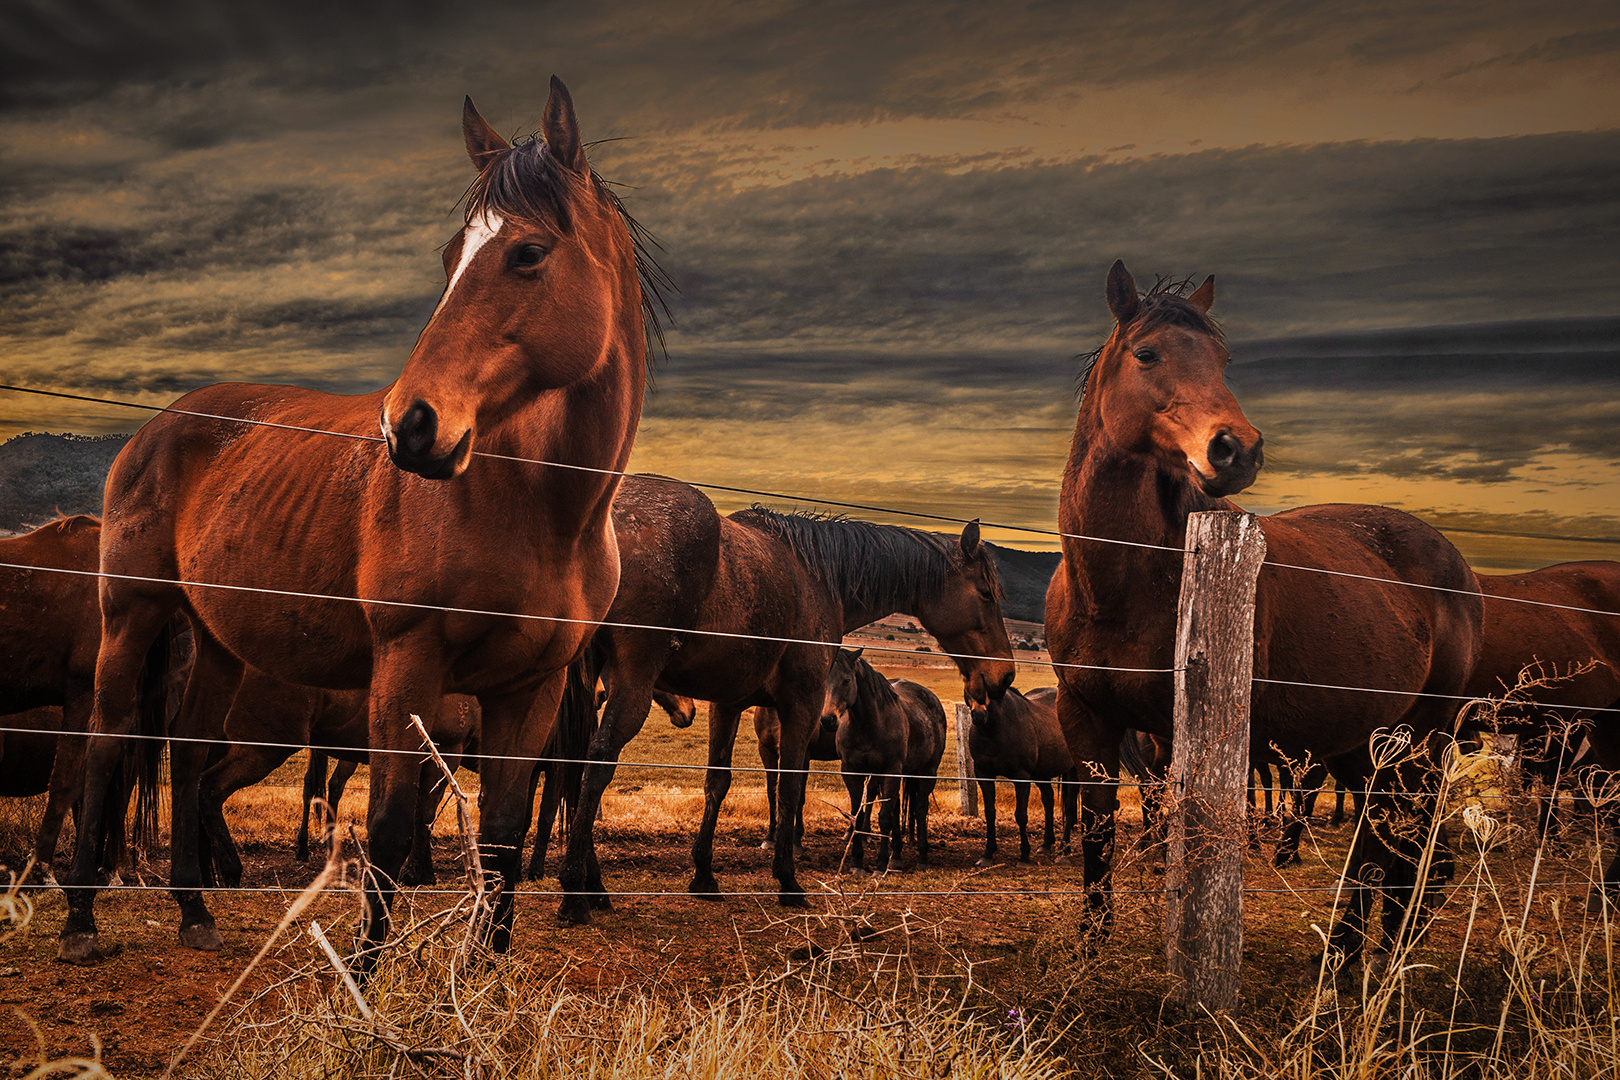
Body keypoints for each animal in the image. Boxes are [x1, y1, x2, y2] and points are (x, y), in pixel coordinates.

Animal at [61, 78, 657, 971]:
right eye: (450, 258)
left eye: (527, 253)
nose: (408, 425)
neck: (537, 507)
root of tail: (158, 428)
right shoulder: (405, 669)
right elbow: (386, 831)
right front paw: (367, 987)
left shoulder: (532, 688)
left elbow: (502, 840)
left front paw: (481, 981)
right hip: (131, 614)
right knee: (109, 741)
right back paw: (80, 922)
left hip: (218, 638)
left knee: (191, 750)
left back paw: (195, 910)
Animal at [557, 476, 1010, 926]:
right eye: (986, 593)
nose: (1003, 676)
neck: (820, 577)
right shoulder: (803, 704)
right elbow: (791, 787)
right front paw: (788, 880)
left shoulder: (728, 703)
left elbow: (717, 783)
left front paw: (704, 876)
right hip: (632, 684)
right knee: (597, 762)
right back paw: (575, 892)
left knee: (578, 765)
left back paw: (594, 887)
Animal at [959, 683, 1075, 867]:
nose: (979, 715)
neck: (995, 729)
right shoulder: (984, 774)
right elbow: (990, 812)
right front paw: (988, 853)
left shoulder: (1021, 776)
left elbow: (1021, 815)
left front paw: (1024, 855)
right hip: (1041, 773)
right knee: (1048, 800)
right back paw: (1046, 844)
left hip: (1073, 770)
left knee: (1070, 807)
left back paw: (1064, 851)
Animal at [1049, 263, 1483, 971]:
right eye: (1147, 354)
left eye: (1223, 360)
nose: (1237, 450)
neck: (1122, 583)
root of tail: (1460, 570)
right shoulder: (1086, 718)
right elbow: (1096, 835)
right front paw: (1089, 950)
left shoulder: (1192, 731)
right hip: (1362, 740)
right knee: (1385, 840)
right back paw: (1354, 950)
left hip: (1422, 738)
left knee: (1404, 842)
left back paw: (1372, 956)